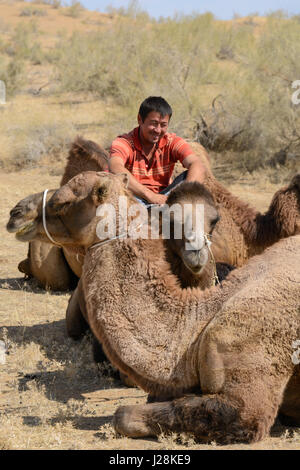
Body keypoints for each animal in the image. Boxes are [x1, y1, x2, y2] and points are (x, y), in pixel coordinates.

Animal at [9, 171, 300, 442]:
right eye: (171, 221)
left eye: (61, 202)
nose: (15, 213)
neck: (197, 325)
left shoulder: (248, 389)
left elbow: (123, 415)